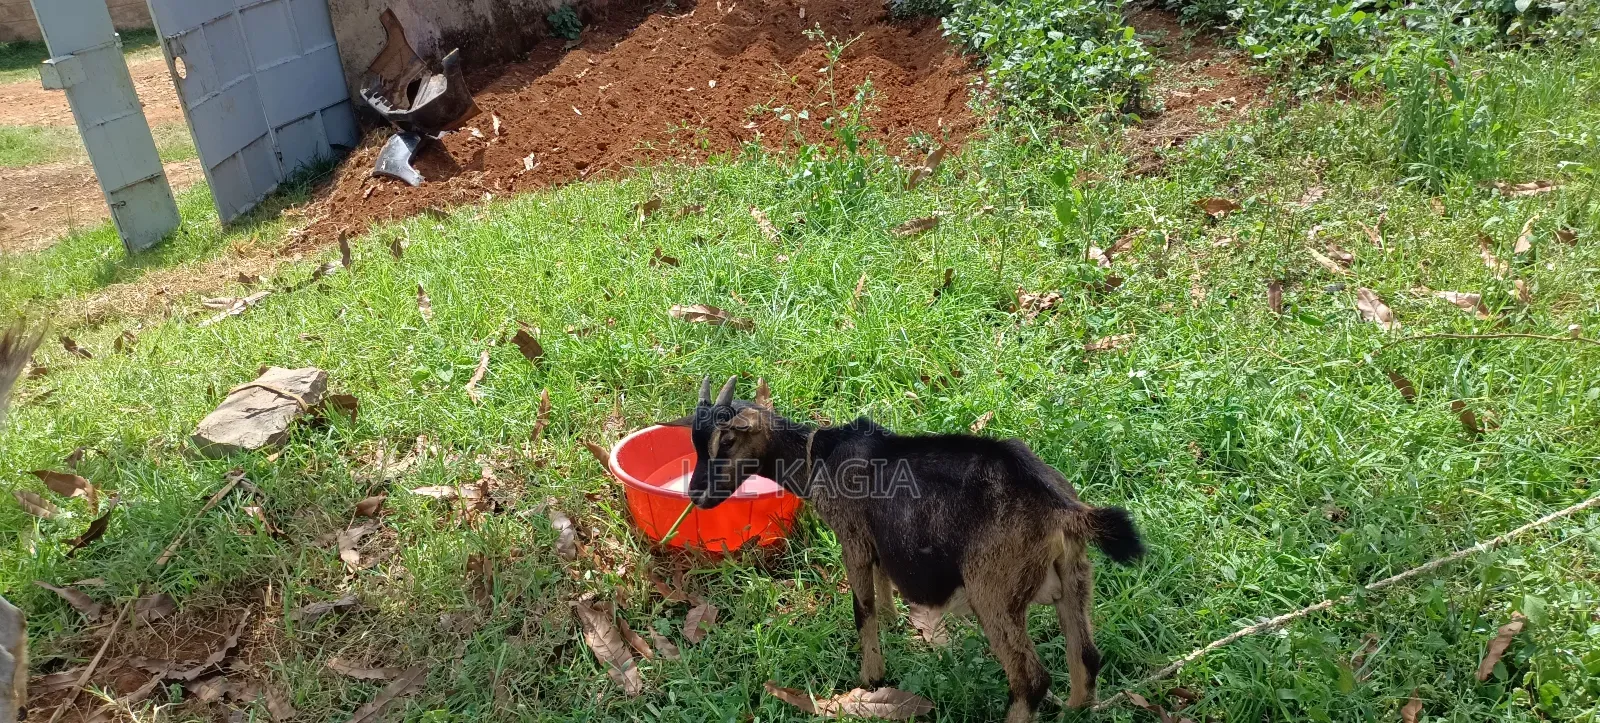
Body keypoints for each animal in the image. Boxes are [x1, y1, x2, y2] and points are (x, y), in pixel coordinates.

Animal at [668, 377, 1145, 721]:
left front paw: (871, 678)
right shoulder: (879, 537)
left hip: (994, 587)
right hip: (1075, 575)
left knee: (1030, 679)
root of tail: (1062, 508)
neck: (820, 457)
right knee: (1086, 657)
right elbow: (881, 588)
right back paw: (1075, 709)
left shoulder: (853, 538)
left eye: (728, 441)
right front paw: (894, 620)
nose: (696, 496)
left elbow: (861, 610)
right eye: (696, 442)